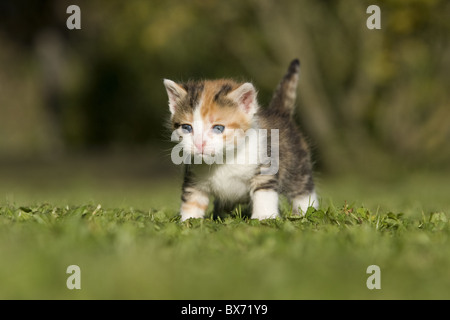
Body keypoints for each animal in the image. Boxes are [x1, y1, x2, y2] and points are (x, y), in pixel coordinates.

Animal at [164, 59, 316, 220]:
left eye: (218, 128)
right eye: (187, 127)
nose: (199, 144)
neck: (223, 159)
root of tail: (279, 113)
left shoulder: (264, 166)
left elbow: (264, 194)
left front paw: (264, 217)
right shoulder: (194, 179)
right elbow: (192, 199)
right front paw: (188, 220)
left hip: (297, 165)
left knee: (303, 190)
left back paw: (305, 211)